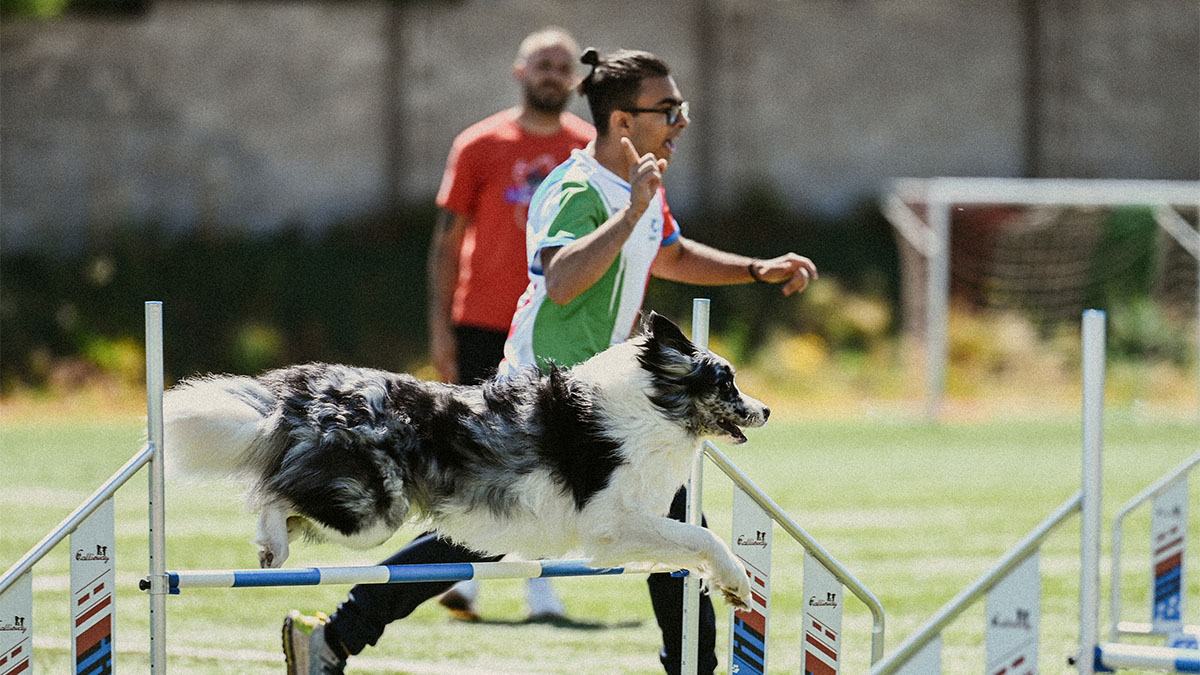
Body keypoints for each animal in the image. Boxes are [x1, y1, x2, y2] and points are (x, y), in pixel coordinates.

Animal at [164, 312, 768, 605]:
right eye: (728, 382)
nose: (764, 410)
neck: (655, 409)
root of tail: (311, 391)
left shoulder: (627, 531)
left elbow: (688, 548)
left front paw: (726, 588)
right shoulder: (609, 524)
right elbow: (703, 538)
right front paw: (738, 582)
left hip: (360, 511)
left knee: (287, 502)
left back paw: (273, 550)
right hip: (371, 514)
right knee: (272, 492)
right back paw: (270, 543)